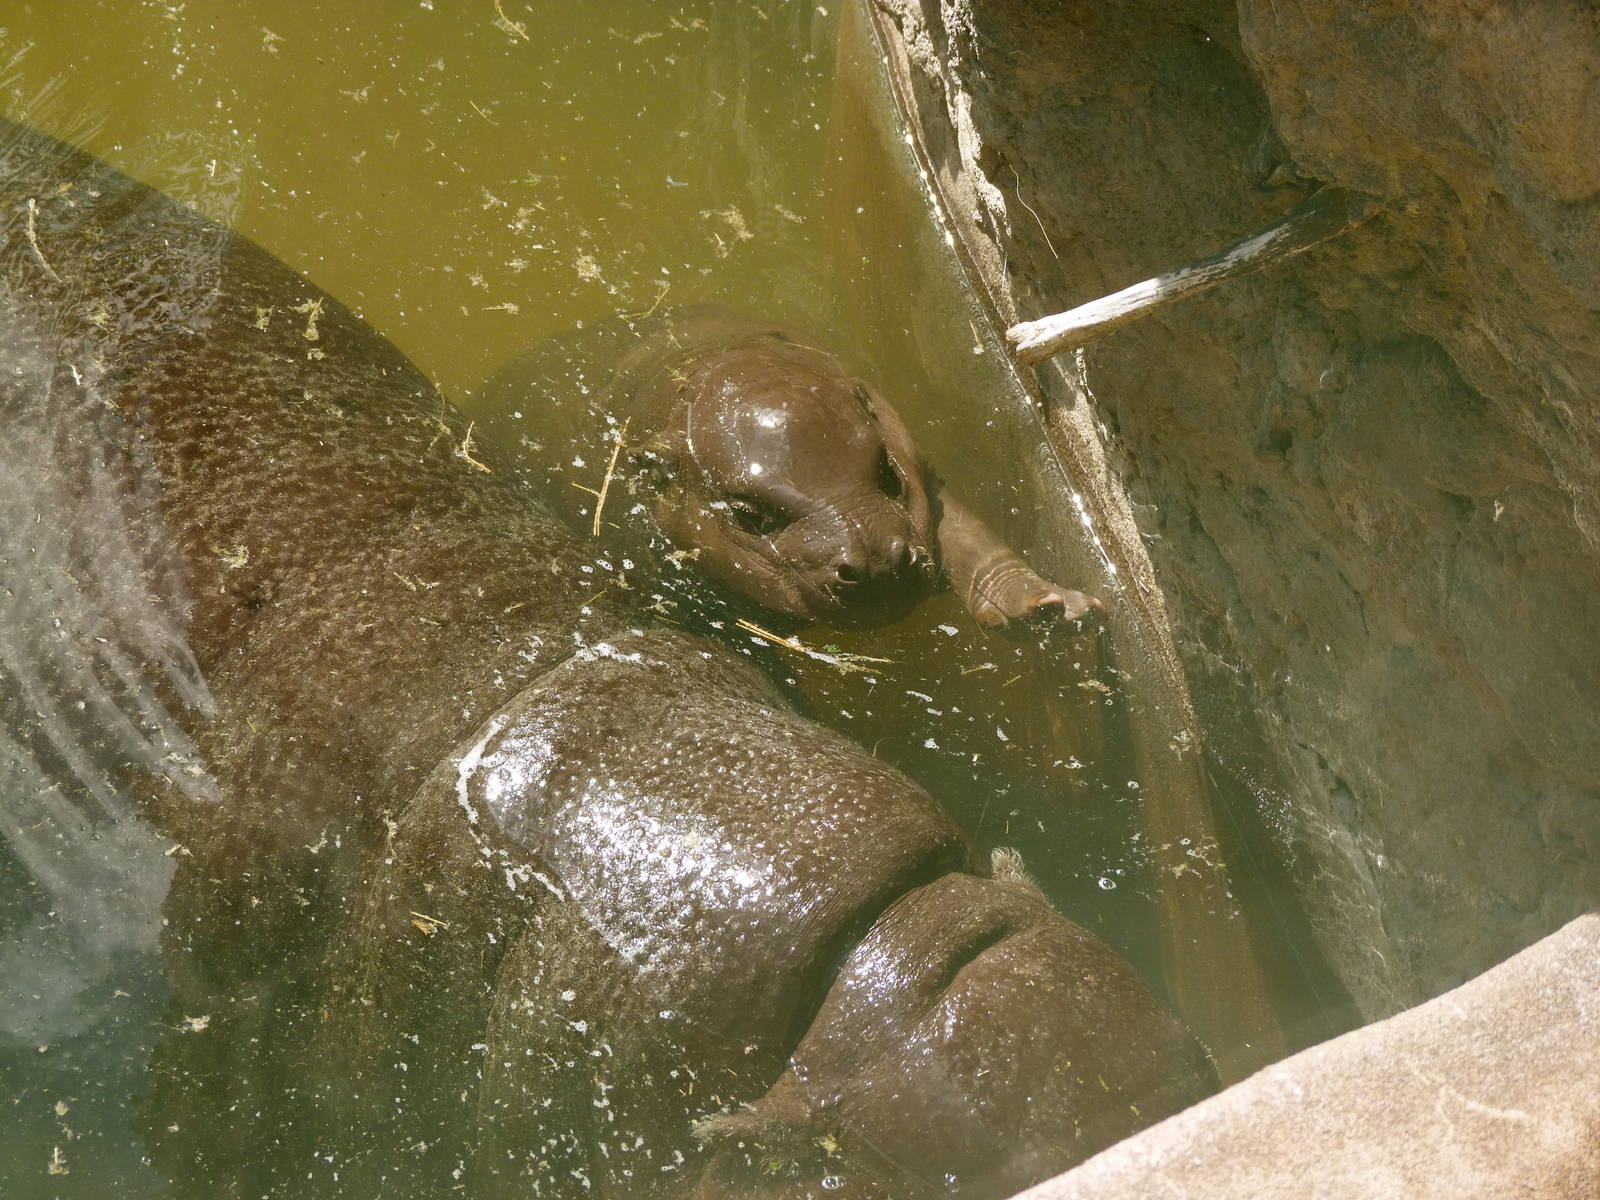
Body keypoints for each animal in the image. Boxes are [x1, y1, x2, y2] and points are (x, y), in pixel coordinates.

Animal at [475, 307, 1099, 634]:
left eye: (886, 473)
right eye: (748, 515)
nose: (876, 562)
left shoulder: (920, 476)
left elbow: (970, 540)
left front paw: (1051, 610)